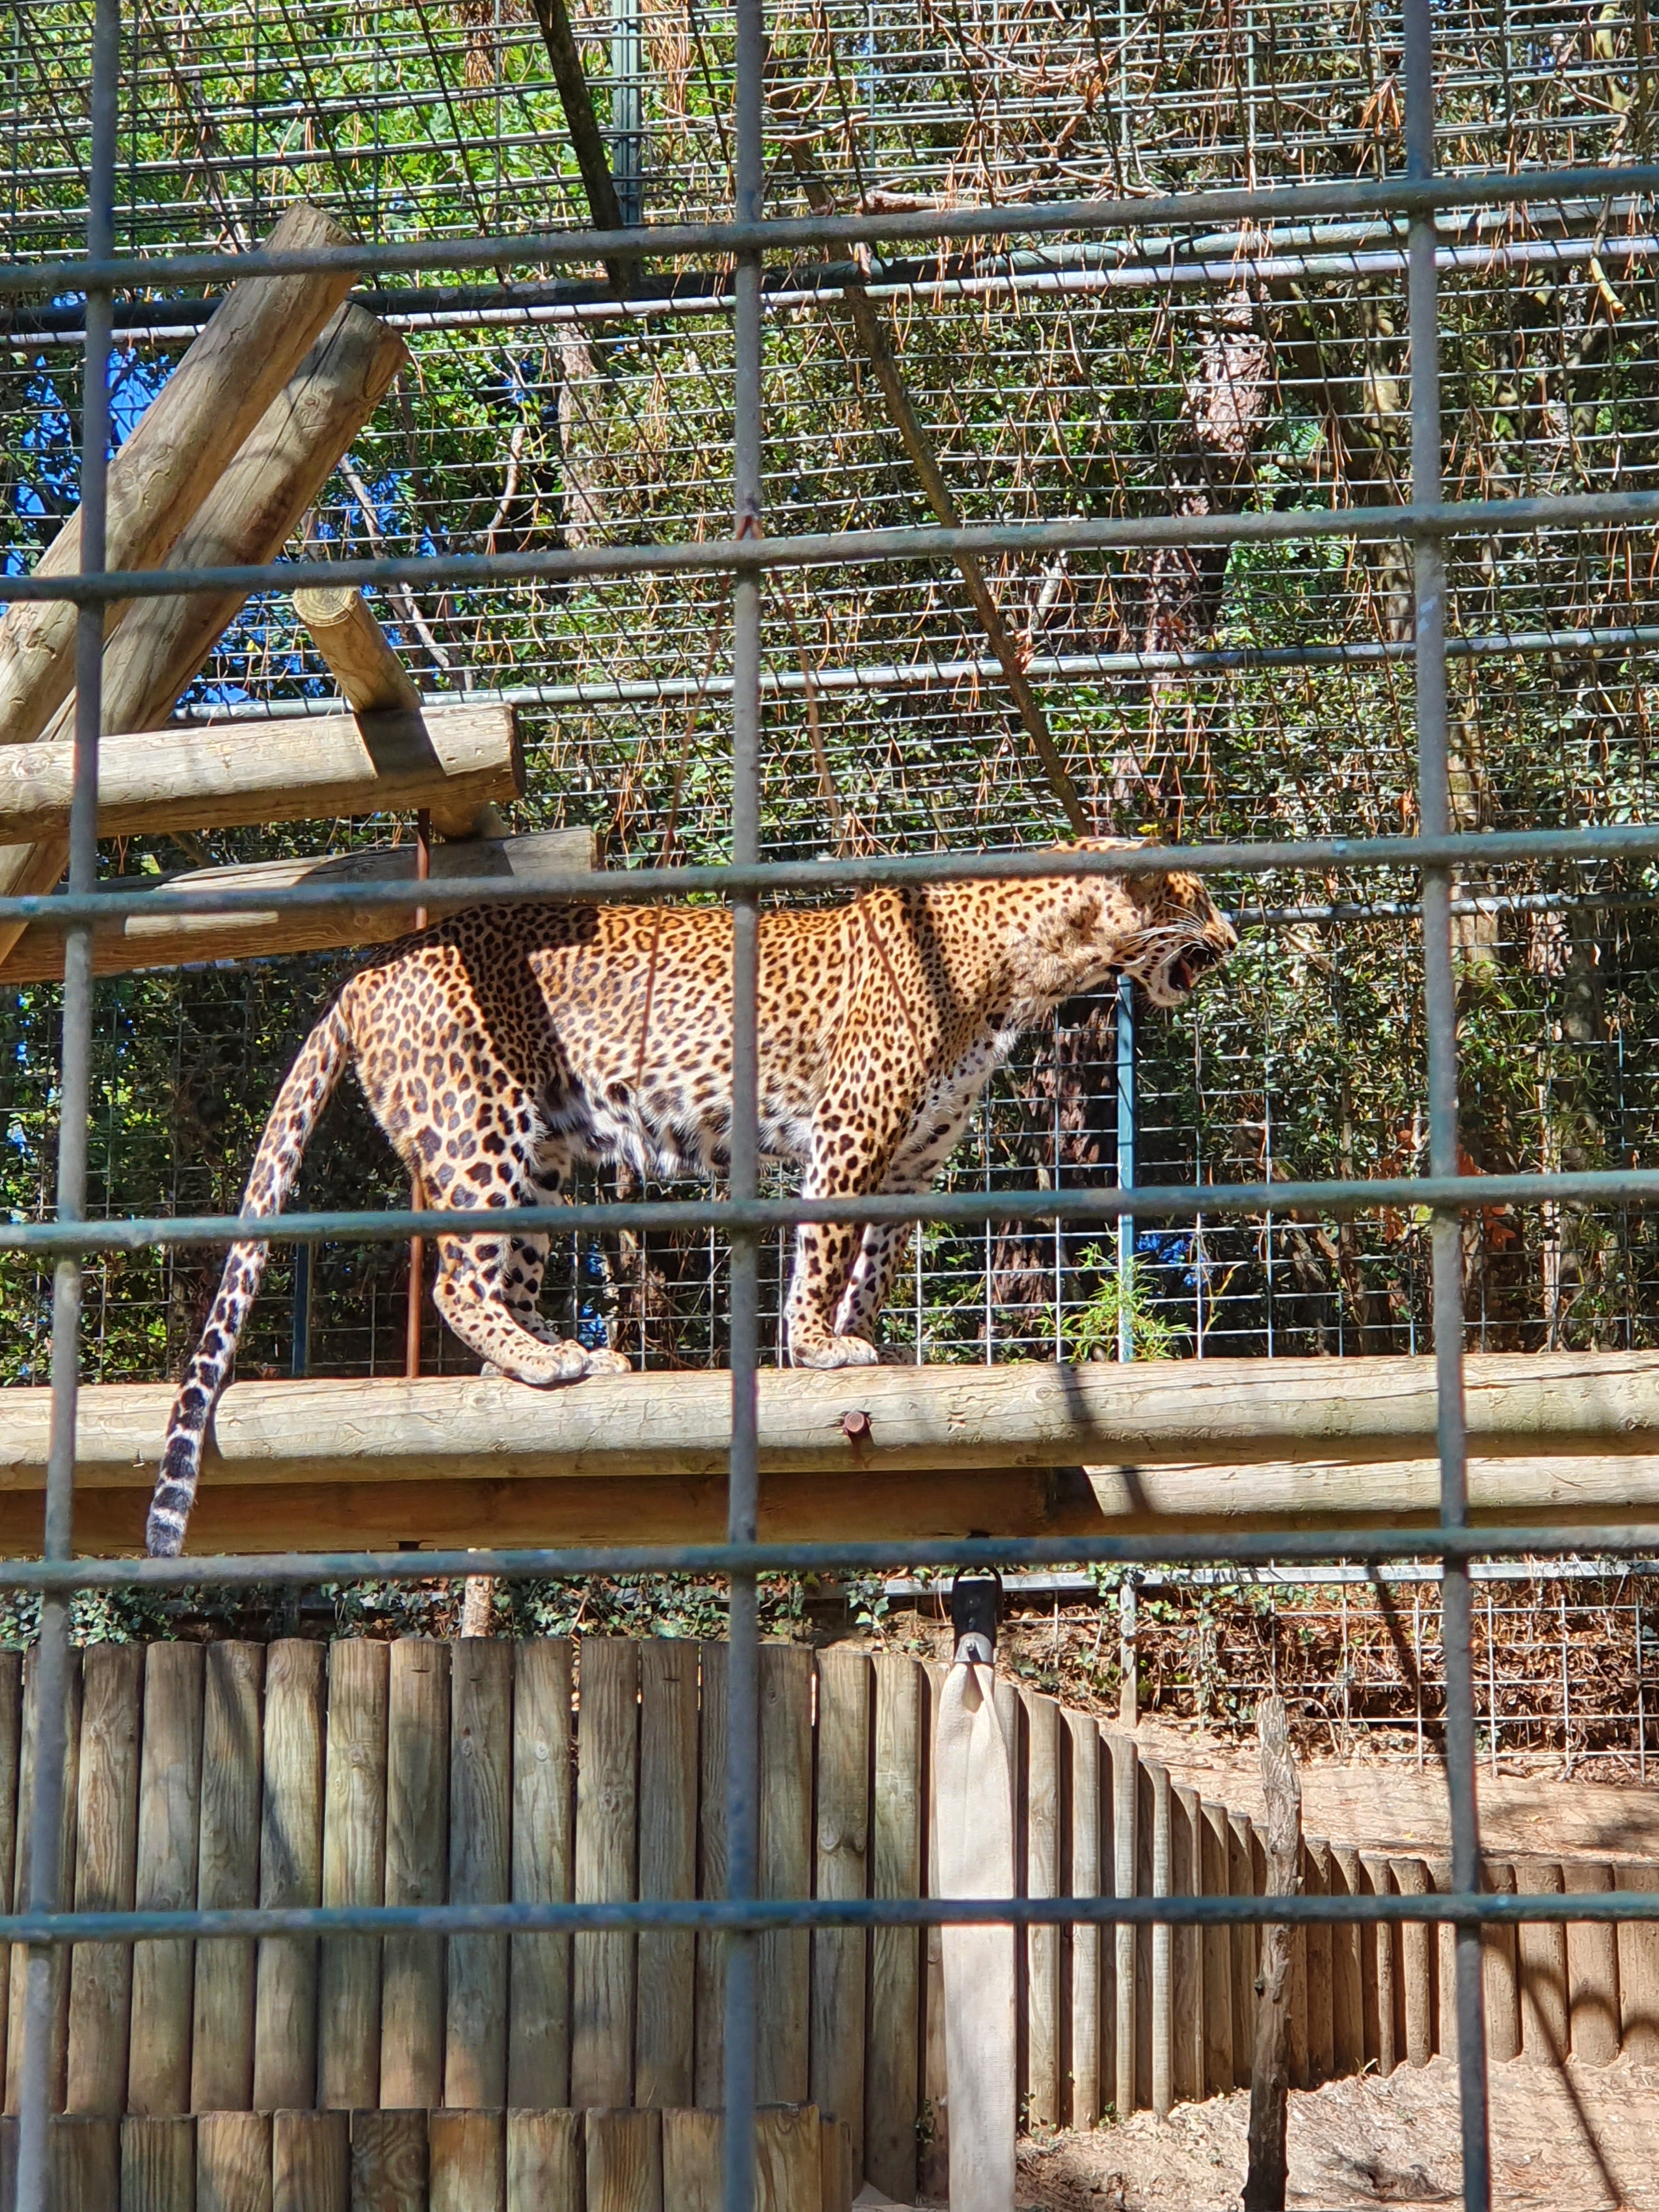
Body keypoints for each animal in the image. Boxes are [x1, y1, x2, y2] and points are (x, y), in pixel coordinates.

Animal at [146, 837, 1236, 1555]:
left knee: (502, 1282)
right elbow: (822, 1248)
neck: (1032, 969)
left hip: (542, 1159)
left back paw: (557, 1356)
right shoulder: (851, 1127)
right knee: (457, 1280)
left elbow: (872, 1262)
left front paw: (856, 1342)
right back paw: (544, 1363)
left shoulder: (911, 1161)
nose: (1230, 932)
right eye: (1192, 889)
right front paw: (815, 1347)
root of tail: (366, 969)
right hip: (480, 1127)